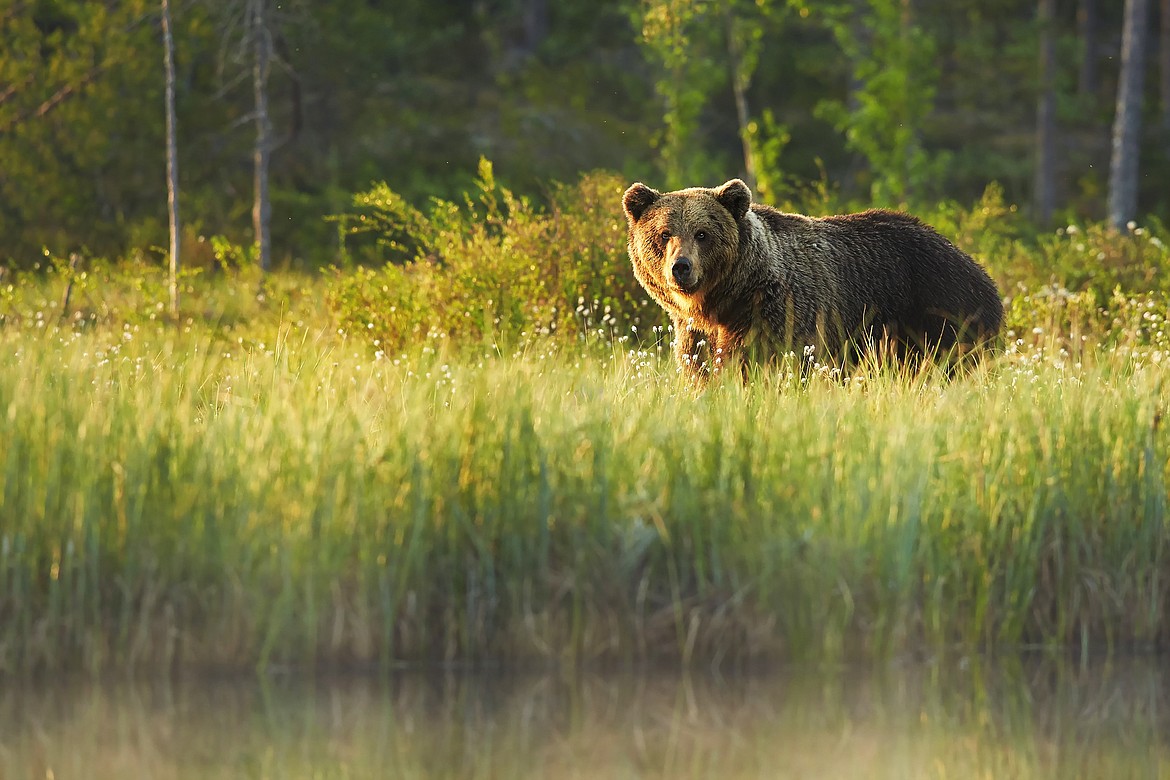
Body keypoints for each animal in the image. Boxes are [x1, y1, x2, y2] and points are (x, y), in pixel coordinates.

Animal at [622, 177, 1006, 383]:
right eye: (664, 233)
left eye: (702, 233)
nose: (681, 267)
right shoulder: (696, 332)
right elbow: (700, 369)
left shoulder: (781, 315)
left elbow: (766, 364)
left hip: (940, 312)